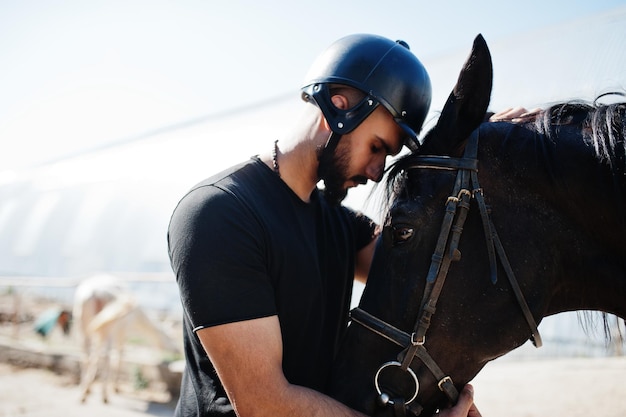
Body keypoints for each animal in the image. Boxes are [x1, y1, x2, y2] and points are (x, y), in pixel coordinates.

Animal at [73, 272, 180, 404]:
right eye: (171, 338)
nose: (178, 350)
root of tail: (95, 293)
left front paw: (92, 388)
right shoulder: (121, 332)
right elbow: (118, 357)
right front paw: (114, 387)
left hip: (83, 324)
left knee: (86, 355)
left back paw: (84, 392)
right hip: (107, 327)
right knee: (104, 356)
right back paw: (103, 394)